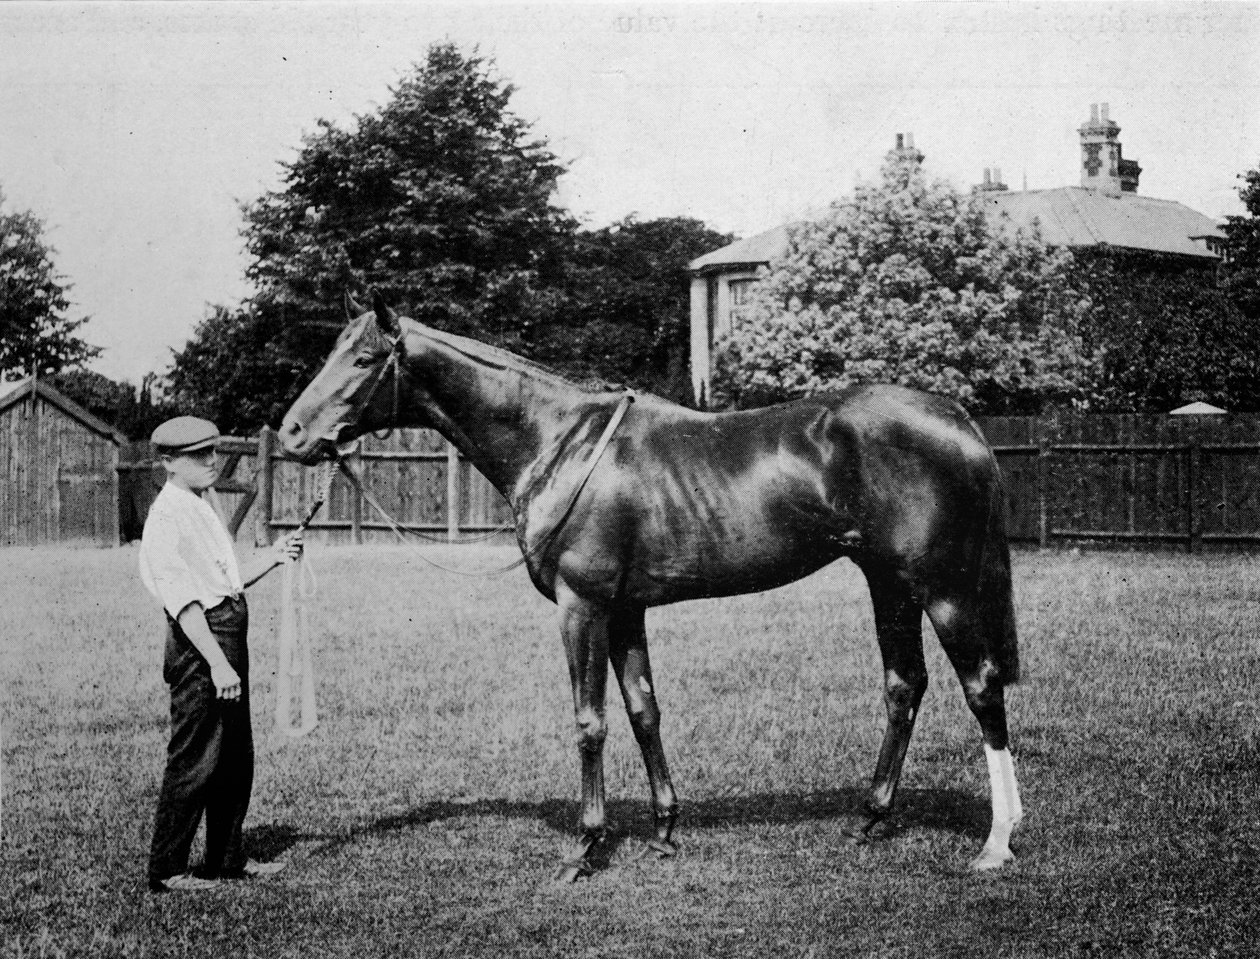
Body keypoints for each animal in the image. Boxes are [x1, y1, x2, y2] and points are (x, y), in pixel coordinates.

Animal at [278, 288, 1023, 877]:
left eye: (364, 360)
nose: (291, 432)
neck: (561, 442)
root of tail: (956, 419)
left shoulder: (582, 607)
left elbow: (591, 721)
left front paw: (585, 847)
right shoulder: (626, 611)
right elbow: (644, 710)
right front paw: (665, 829)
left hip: (944, 588)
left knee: (981, 688)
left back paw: (996, 841)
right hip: (888, 583)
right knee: (904, 685)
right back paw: (870, 817)